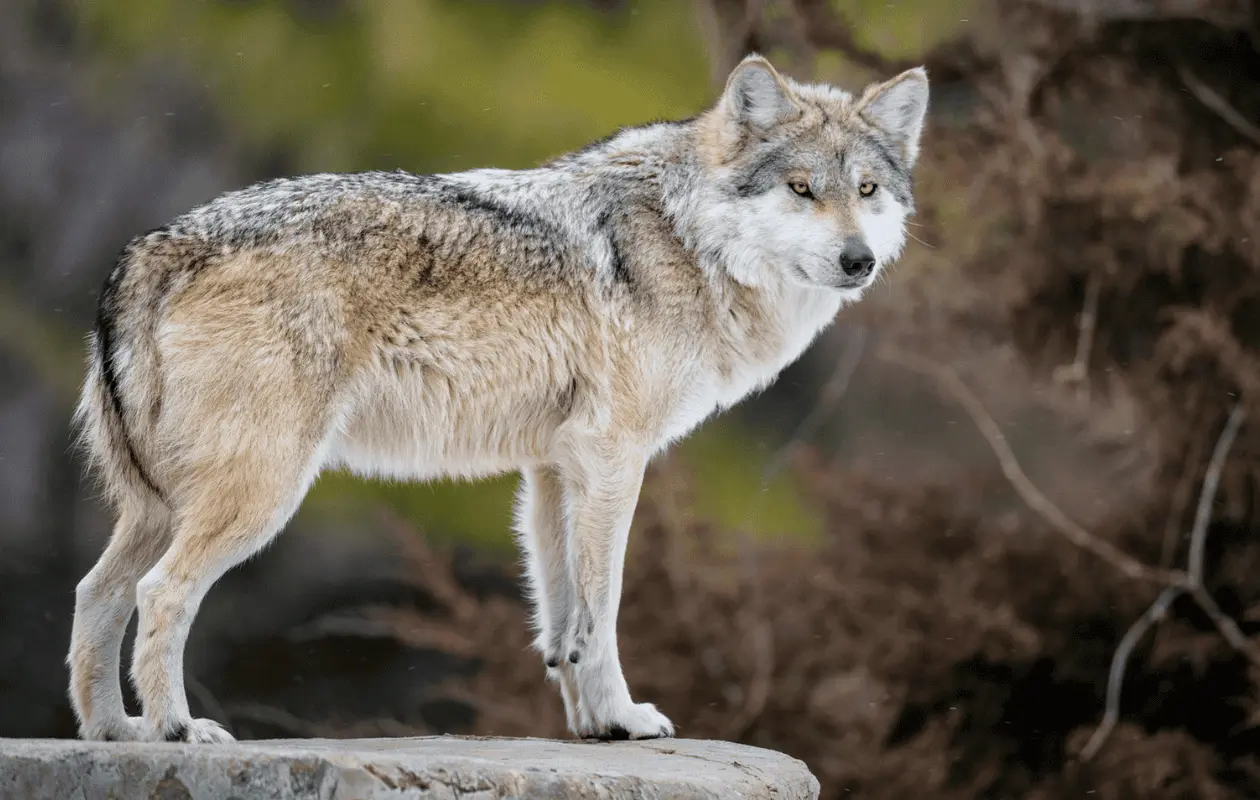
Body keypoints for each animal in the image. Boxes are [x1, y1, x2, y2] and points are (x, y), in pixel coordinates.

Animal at [67, 54, 928, 743]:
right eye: (801, 189)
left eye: (867, 190)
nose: (858, 260)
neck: (688, 238)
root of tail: (153, 245)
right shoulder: (613, 459)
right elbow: (604, 606)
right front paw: (626, 717)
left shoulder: (552, 469)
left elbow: (562, 619)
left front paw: (592, 726)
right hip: (260, 495)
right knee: (159, 593)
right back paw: (176, 730)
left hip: (159, 506)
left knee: (96, 594)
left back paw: (115, 732)